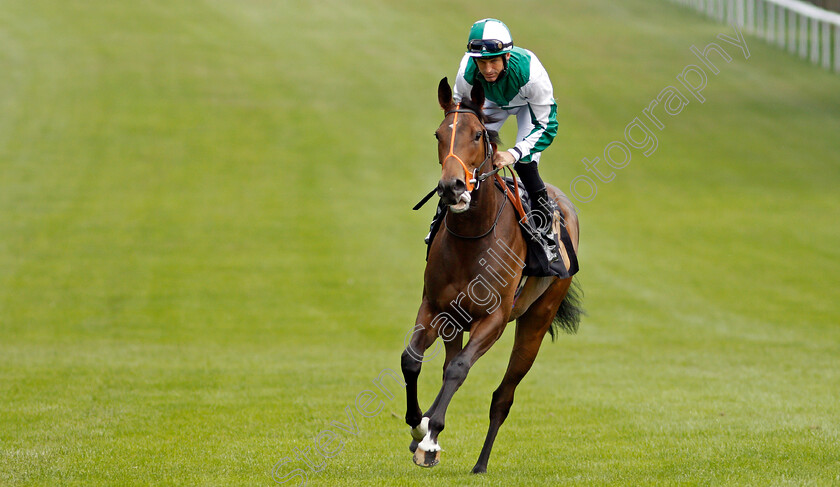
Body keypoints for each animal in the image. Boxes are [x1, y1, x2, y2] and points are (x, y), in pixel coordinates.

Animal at [400, 78, 584, 474]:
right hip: (456, 322)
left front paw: (430, 438)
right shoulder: (435, 307)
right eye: (439, 134)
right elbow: (412, 359)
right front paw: (419, 426)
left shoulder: (495, 319)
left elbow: (459, 369)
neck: (472, 238)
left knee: (503, 397)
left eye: (477, 134)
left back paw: (480, 464)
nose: (452, 186)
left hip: (536, 321)